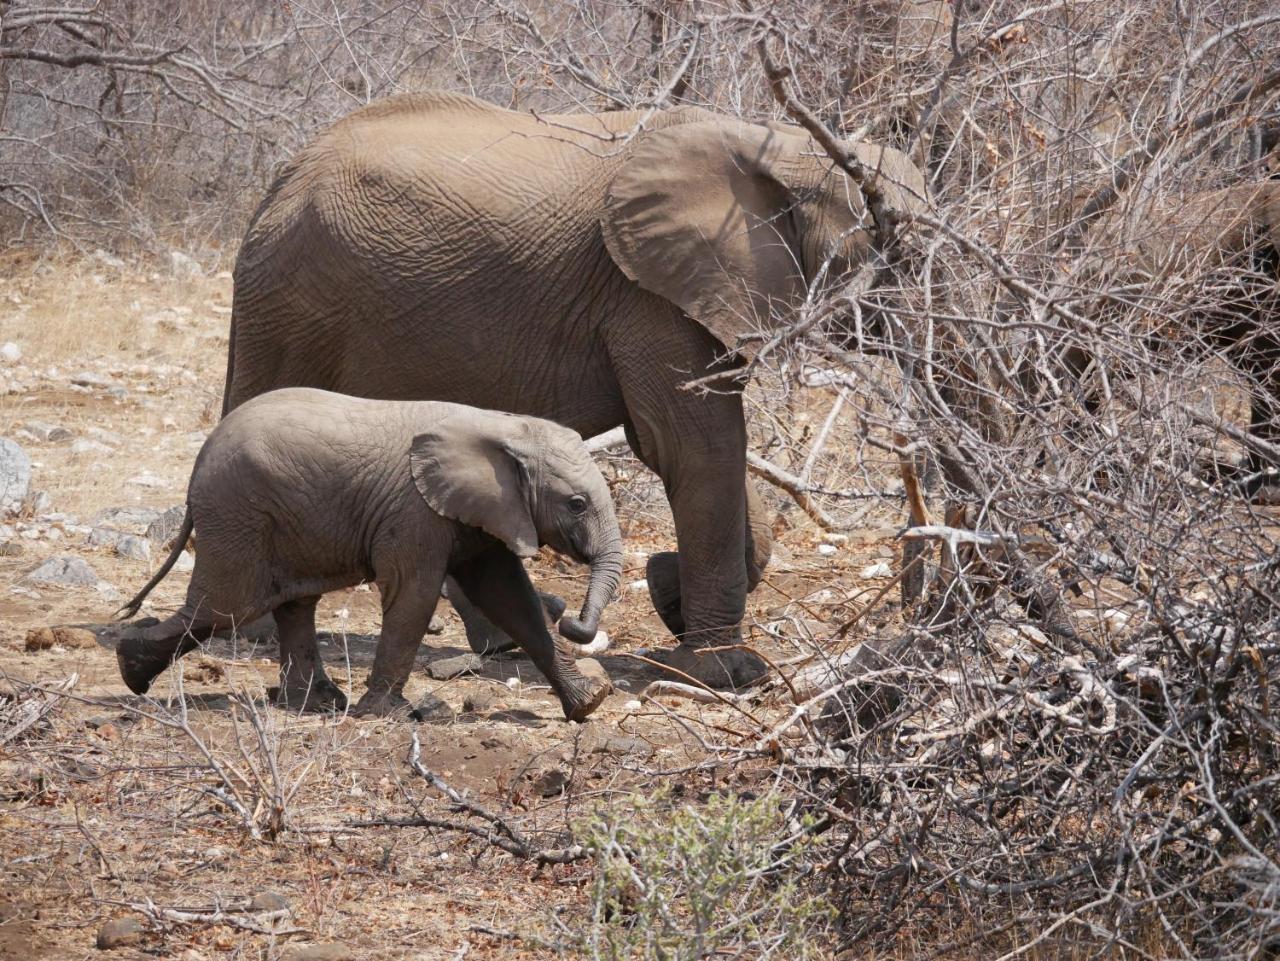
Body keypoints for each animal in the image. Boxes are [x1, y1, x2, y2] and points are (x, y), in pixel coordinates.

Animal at [115, 386, 624, 716]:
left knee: (291, 604)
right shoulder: (414, 511)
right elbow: (414, 594)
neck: (504, 425)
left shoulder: (482, 511)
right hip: (238, 513)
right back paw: (130, 666)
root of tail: (199, 461)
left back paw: (314, 704)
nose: (573, 619)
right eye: (576, 504)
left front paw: (587, 704)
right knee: (226, 608)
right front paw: (387, 714)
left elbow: (510, 597)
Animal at [222, 92, 931, 690]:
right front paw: (725, 671)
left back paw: (504, 639)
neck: (780, 143)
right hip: (291, 303)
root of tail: (282, 177)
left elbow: (682, 443)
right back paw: (250, 627)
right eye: (895, 250)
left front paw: (668, 592)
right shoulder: (647, 293)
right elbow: (694, 446)